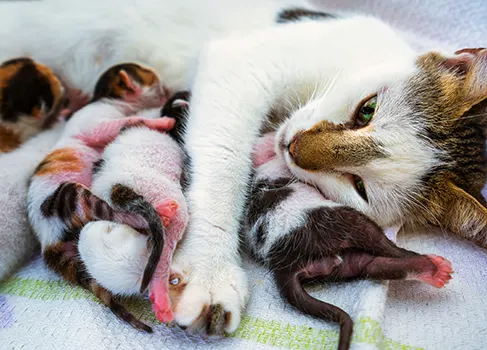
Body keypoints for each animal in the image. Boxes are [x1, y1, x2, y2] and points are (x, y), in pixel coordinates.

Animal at [27, 63, 173, 334]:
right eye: (154, 81)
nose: (169, 89)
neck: (104, 98)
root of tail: (47, 242)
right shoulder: (97, 119)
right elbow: (125, 121)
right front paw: (162, 120)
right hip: (71, 200)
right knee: (110, 211)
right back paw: (162, 212)